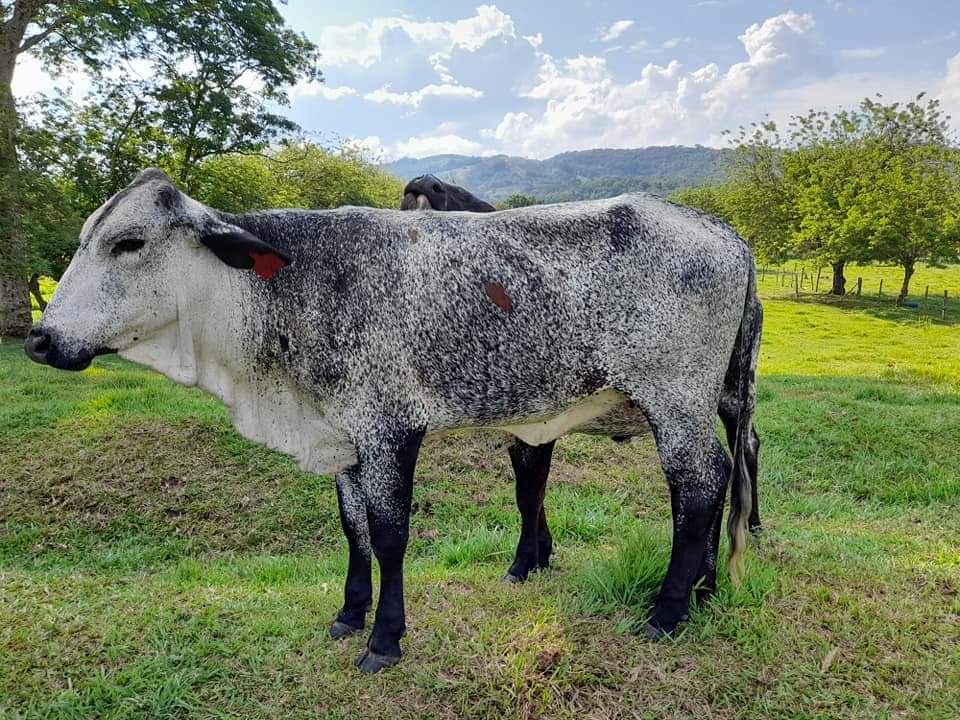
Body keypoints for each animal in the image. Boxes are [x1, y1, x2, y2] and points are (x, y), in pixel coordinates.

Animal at [400, 175, 763, 585]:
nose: (425, 183)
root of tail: (732, 239)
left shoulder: (541, 423)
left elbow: (531, 492)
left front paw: (524, 561)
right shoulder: (520, 430)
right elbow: (528, 492)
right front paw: (539, 554)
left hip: (702, 399)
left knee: (727, 461)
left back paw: (741, 537)